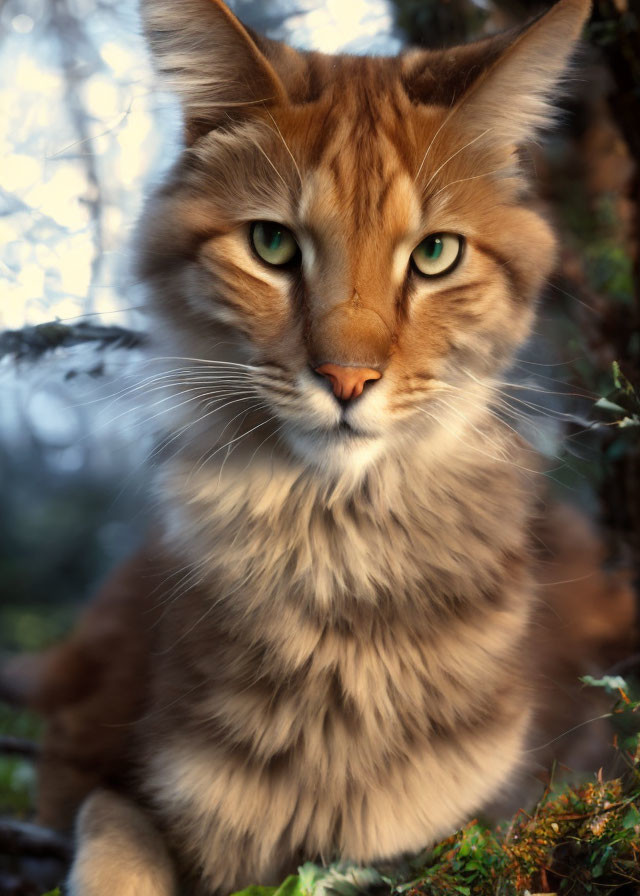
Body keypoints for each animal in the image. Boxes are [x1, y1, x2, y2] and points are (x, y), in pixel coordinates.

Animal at [7, 0, 636, 892]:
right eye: (272, 245)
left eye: (436, 254)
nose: (346, 378)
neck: (334, 566)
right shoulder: (91, 761)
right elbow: (115, 836)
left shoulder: (463, 824)